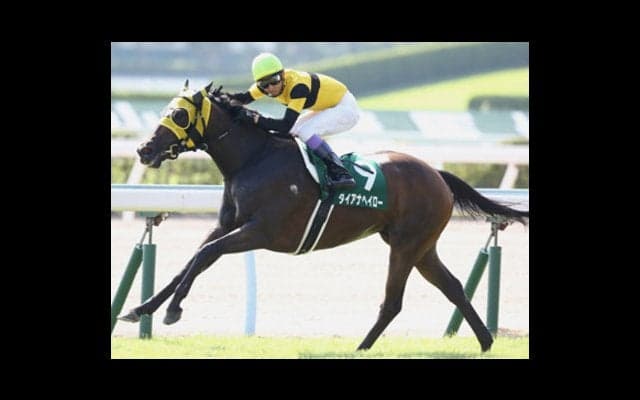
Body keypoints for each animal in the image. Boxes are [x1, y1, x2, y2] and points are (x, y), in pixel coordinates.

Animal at [118, 81, 529, 352]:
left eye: (178, 113)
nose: (143, 149)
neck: (254, 160)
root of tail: (437, 174)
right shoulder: (227, 225)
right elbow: (190, 262)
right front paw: (140, 309)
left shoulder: (261, 232)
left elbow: (204, 255)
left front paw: (172, 310)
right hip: (422, 247)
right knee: (454, 287)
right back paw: (485, 342)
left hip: (406, 245)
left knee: (393, 302)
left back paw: (361, 348)